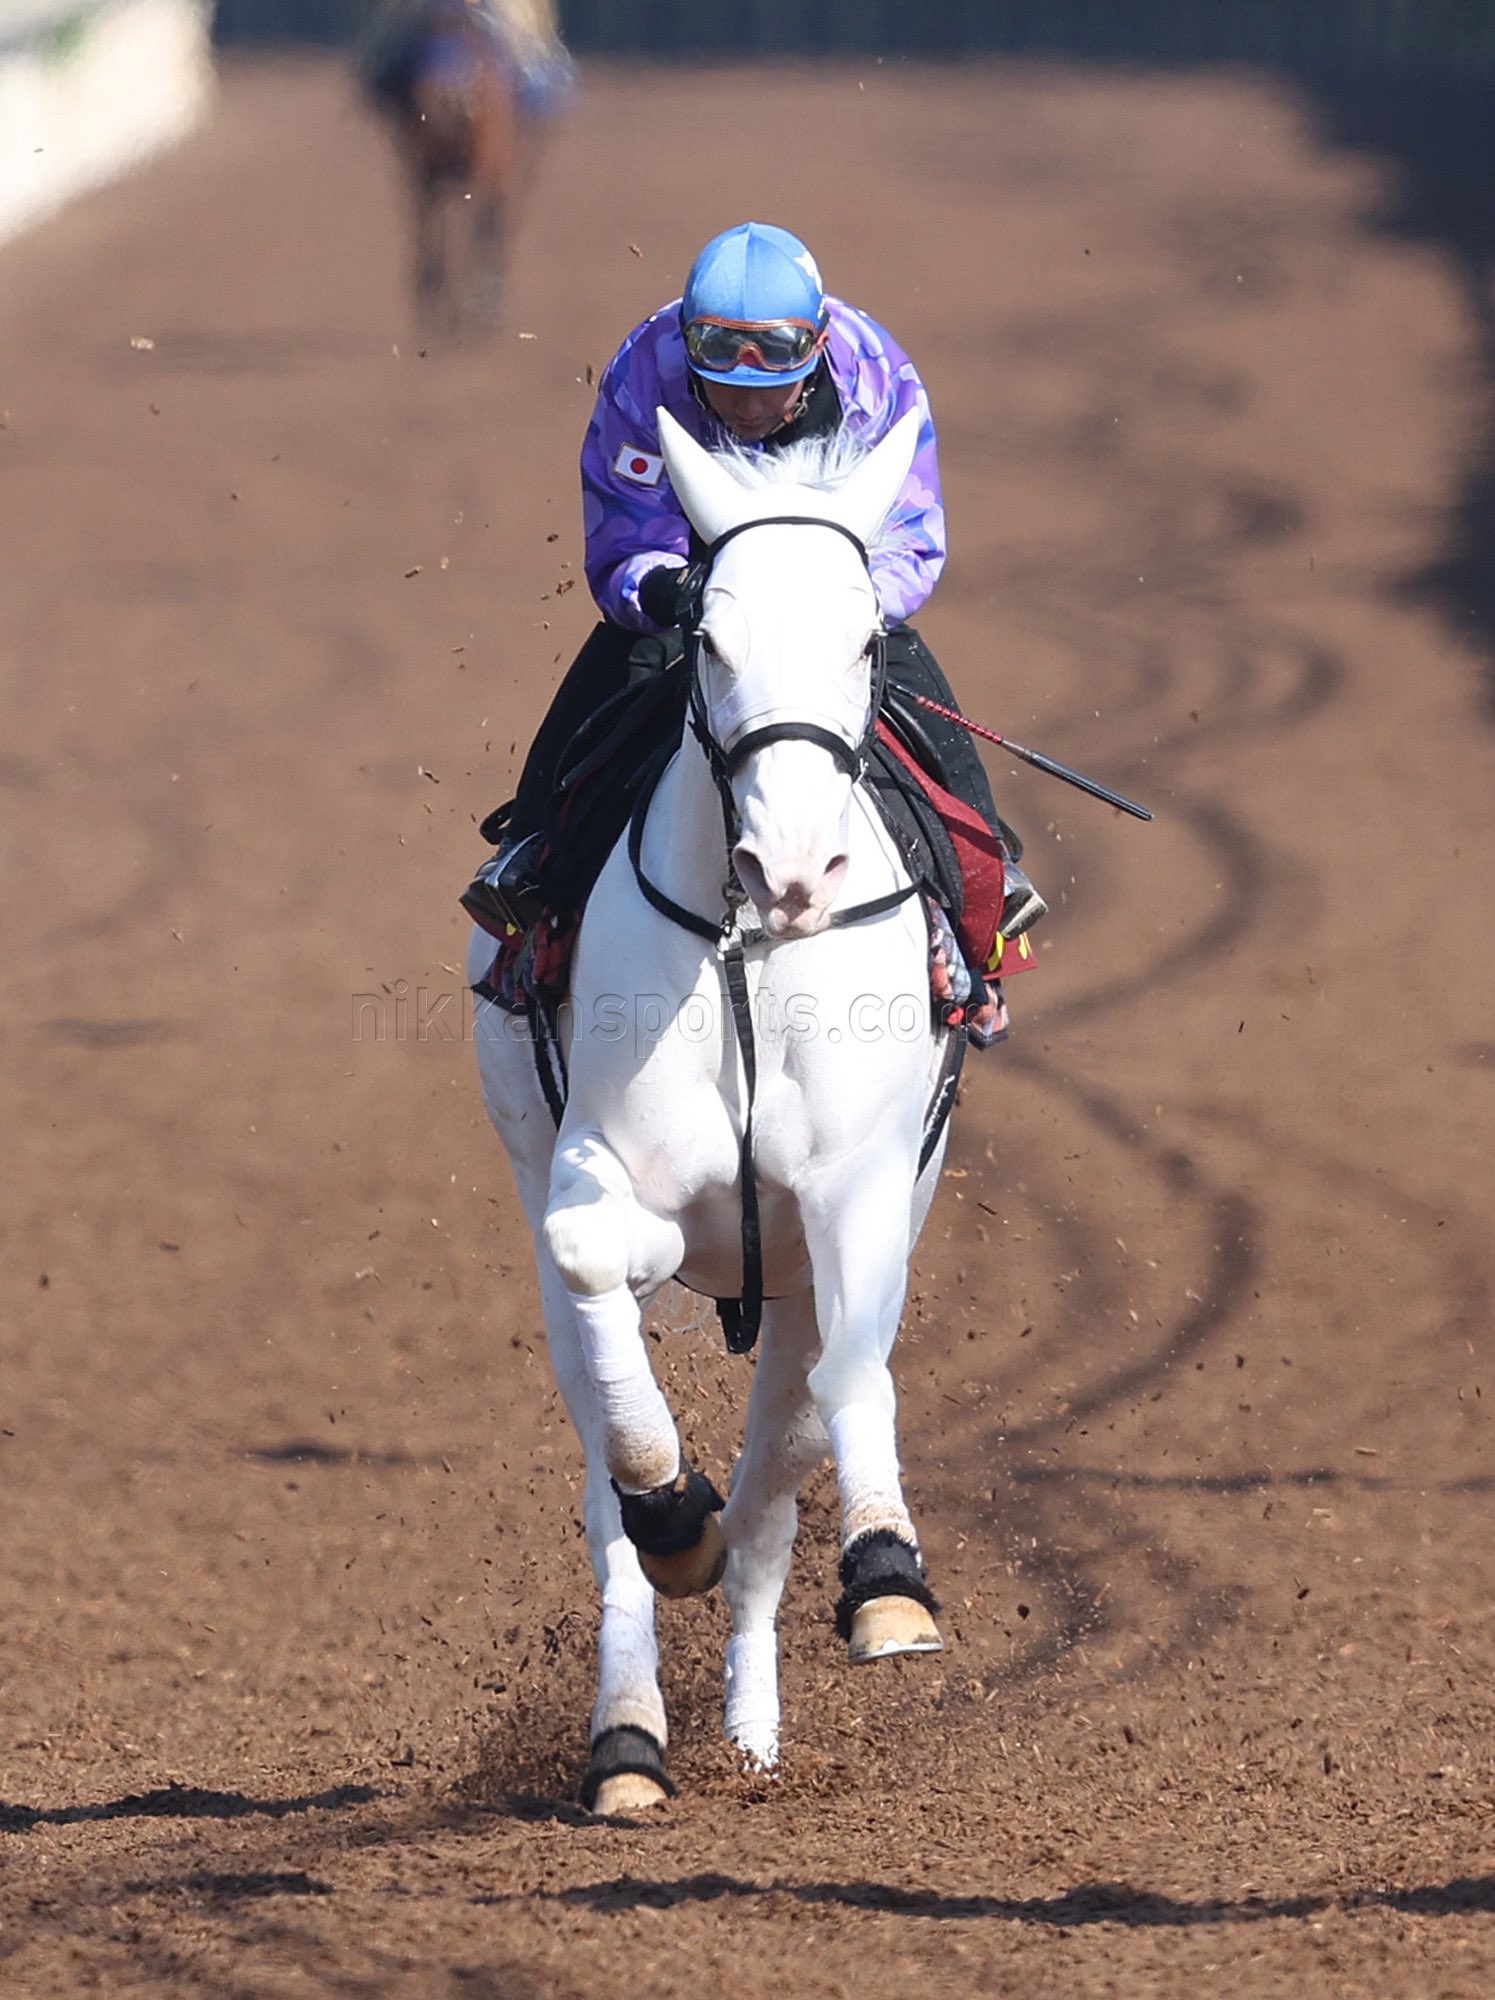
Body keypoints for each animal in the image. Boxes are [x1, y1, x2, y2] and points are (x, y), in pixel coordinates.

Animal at [468, 406, 962, 1813]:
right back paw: (632, 1736)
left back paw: (753, 1724)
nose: (791, 869)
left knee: (776, 1483)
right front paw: (669, 1510)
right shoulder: (596, 1171)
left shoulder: (858, 1189)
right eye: (708, 636)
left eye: (867, 634)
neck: (749, 953)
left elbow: (844, 1381)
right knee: (620, 1496)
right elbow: (596, 1256)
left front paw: (888, 1576)